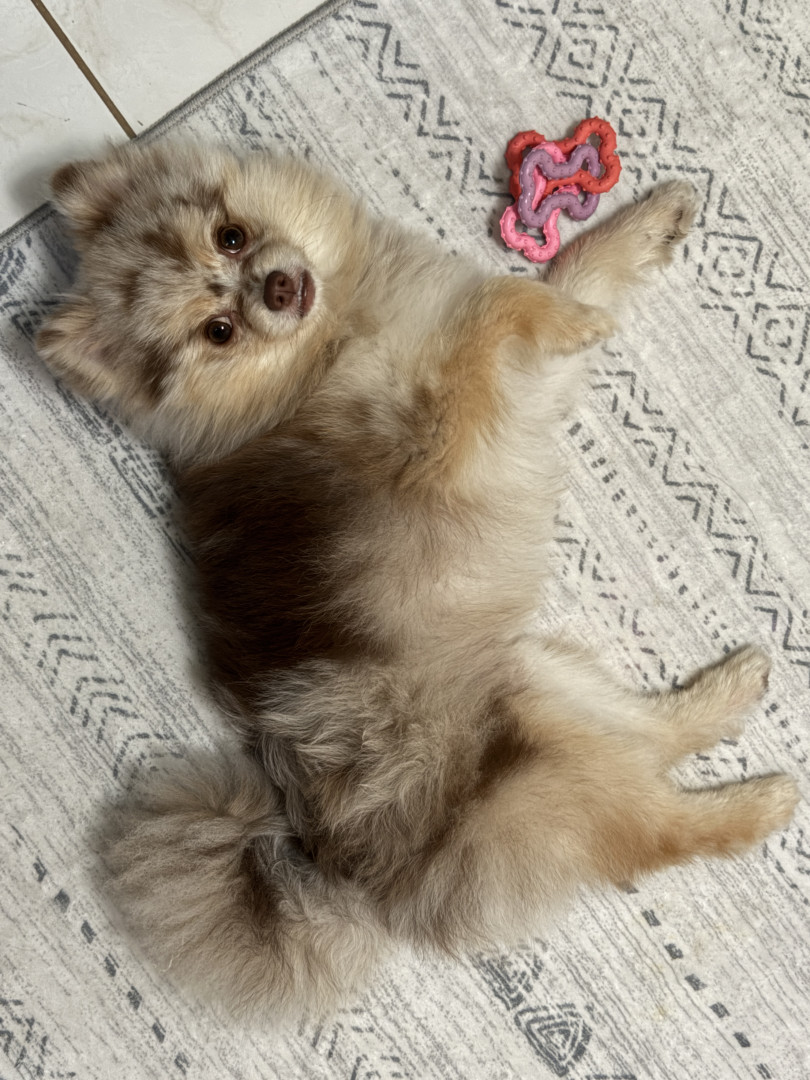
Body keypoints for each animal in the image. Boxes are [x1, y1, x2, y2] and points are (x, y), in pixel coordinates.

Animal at [36, 141, 798, 1018]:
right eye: (216, 332)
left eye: (231, 237)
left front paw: (643, 229)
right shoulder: (444, 428)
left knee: (656, 732)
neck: (324, 344)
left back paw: (735, 686)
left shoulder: (529, 388)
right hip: (544, 764)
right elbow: (502, 305)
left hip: (531, 680)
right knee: (657, 833)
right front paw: (568, 315)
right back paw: (763, 801)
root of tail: (347, 871)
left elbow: (574, 268)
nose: (278, 287)